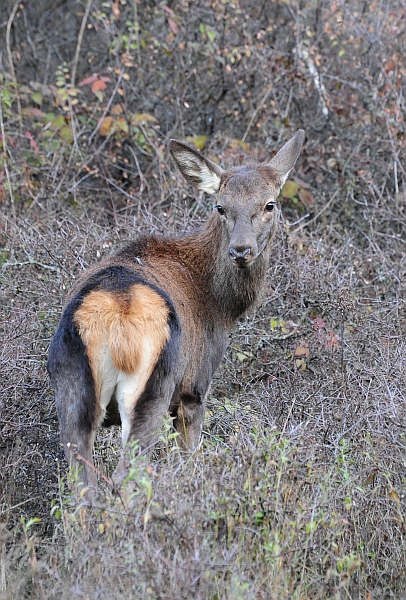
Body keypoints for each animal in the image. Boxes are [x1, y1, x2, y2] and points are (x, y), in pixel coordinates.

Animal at [46, 131, 302, 496]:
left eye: (269, 204)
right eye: (220, 206)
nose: (241, 250)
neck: (221, 305)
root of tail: (116, 313)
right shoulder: (195, 388)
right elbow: (190, 460)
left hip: (70, 387)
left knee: (84, 488)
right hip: (154, 386)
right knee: (125, 478)